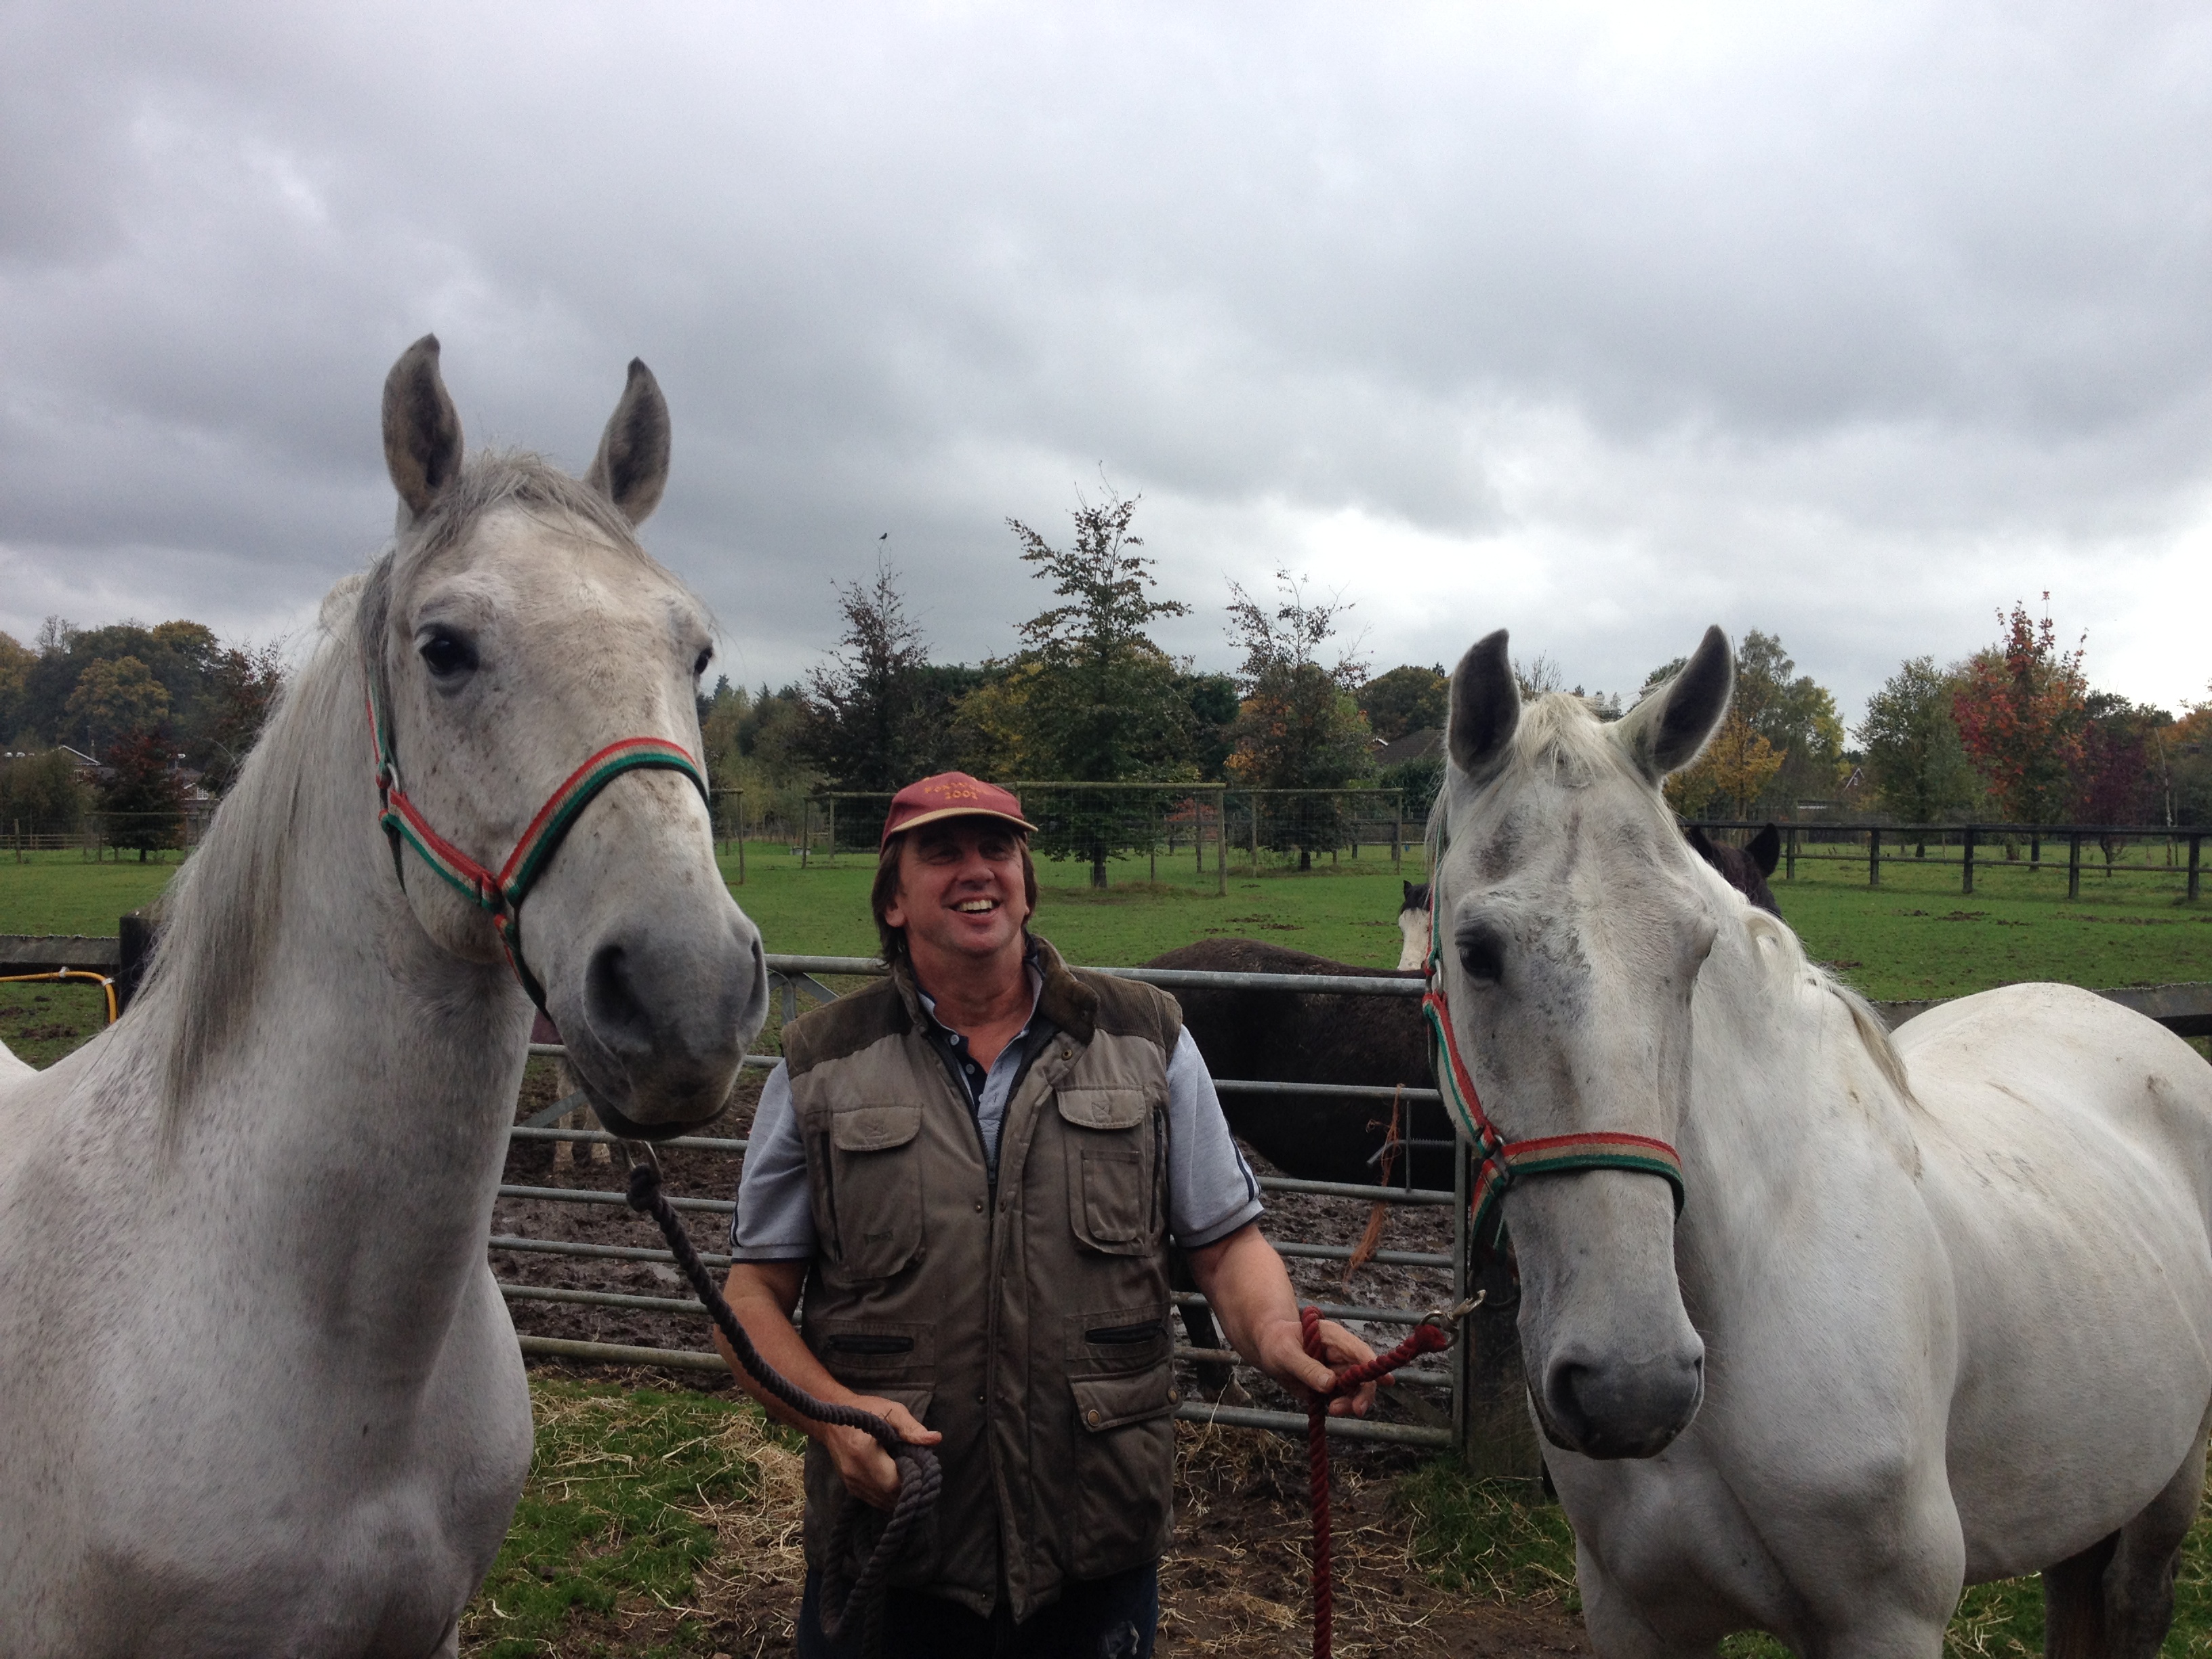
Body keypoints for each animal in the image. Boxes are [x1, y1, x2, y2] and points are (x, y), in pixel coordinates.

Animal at [1425, 624, 2212, 1659]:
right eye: (1477, 952)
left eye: (1694, 952)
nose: (1633, 1386)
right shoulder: (1634, 1614)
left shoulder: (1888, 1621)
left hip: (2173, 1477)